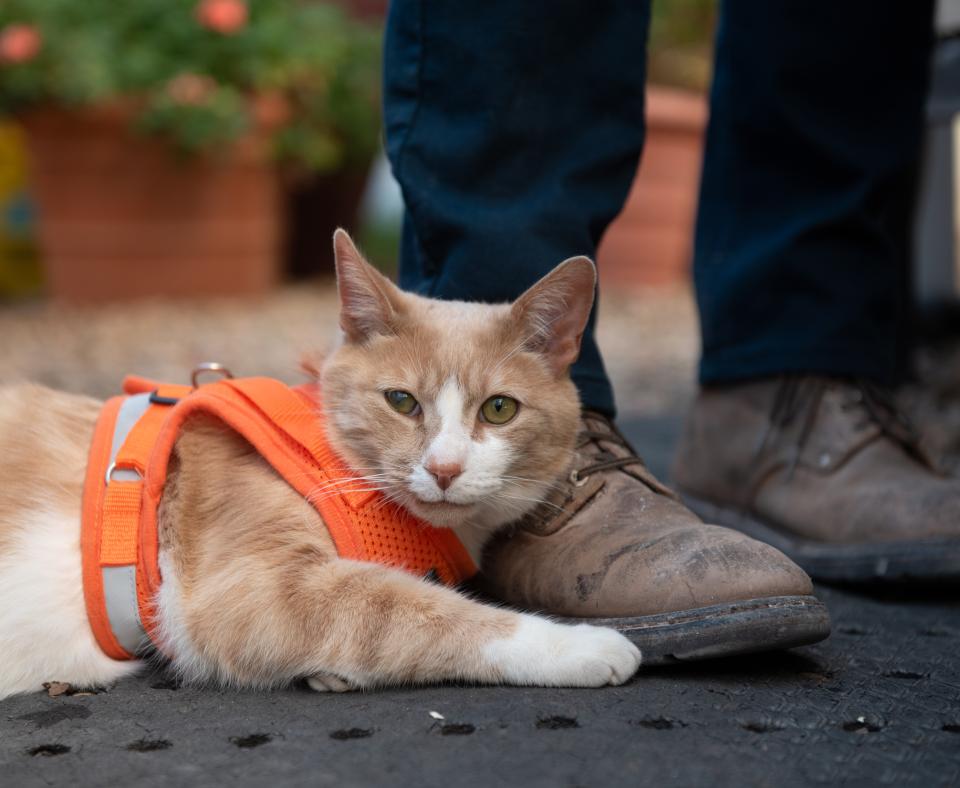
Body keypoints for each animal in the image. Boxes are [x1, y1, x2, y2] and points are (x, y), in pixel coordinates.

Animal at [1, 231, 644, 700]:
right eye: (401, 401)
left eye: (500, 409)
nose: (444, 468)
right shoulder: (250, 592)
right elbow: (421, 612)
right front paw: (578, 647)